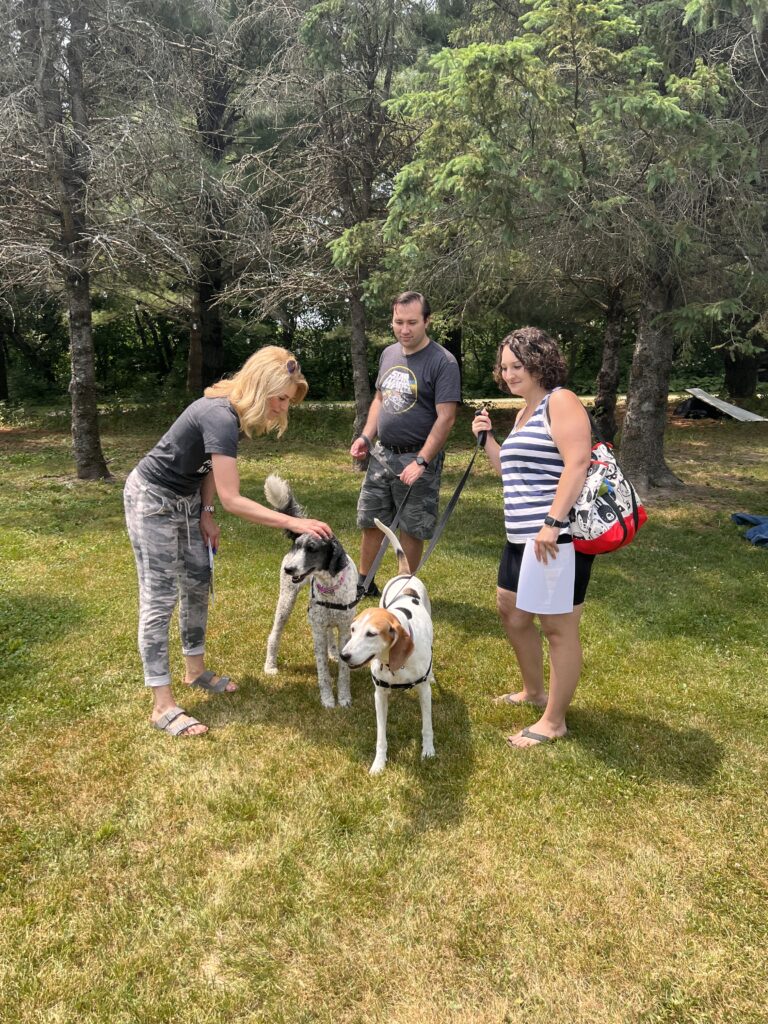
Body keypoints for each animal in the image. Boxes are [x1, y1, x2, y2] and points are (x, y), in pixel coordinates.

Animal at [264, 475, 360, 708]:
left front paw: (344, 697)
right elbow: (322, 670)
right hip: (286, 601)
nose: (289, 569)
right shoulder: (316, 629)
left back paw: (333, 652)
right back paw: (270, 666)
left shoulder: (345, 627)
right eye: (297, 547)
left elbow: (344, 670)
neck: (330, 587)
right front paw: (328, 699)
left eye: (312, 549)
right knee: (274, 635)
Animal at [342, 516, 434, 770]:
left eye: (371, 634)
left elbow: (427, 727)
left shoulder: (424, 691)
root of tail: (405, 575)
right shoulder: (380, 695)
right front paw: (379, 763)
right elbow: (381, 736)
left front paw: (428, 752)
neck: (393, 662)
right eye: (352, 630)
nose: (344, 655)